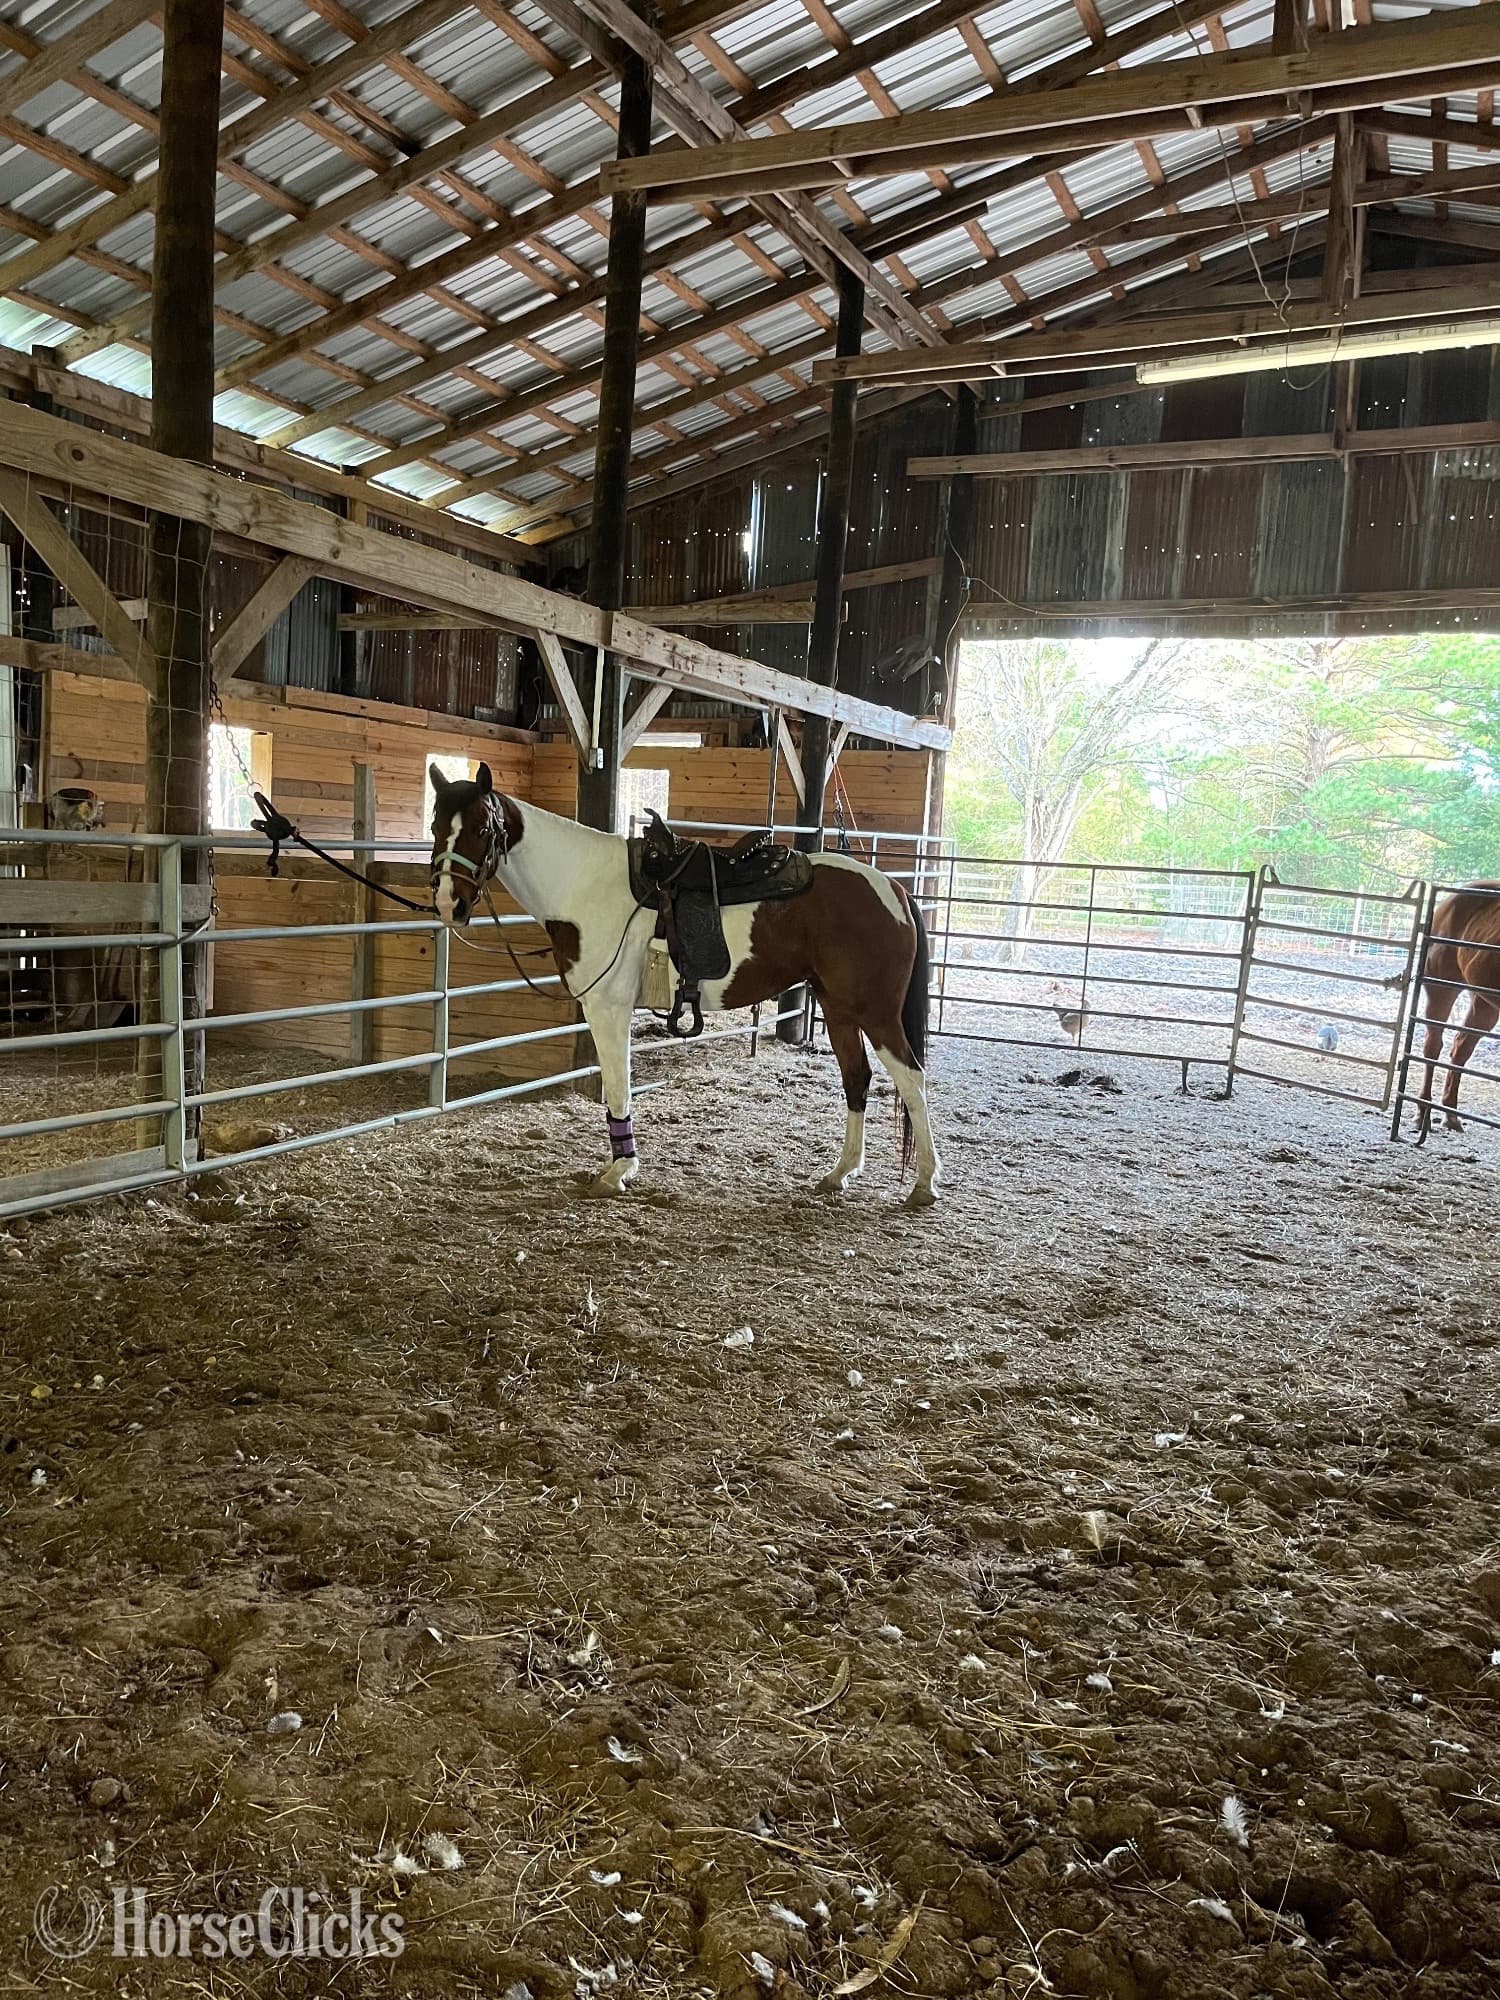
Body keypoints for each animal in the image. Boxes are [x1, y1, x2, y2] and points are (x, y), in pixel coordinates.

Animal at [428, 763, 940, 1206]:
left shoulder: (608, 1008)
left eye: (481, 829)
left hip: (876, 1013)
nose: (449, 904)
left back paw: (924, 1183)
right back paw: (840, 1173)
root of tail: (893, 889)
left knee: (912, 1078)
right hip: (839, 1009)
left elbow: (619, 1086)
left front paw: (619, 1171)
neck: (586, 886)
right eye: (435, 828)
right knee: (857, 1078)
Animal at [1412, 880, 1500, 1142]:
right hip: (1441, 988)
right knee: (1433, 1047)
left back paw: (1450, 1115)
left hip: (1483, 1002)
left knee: (1461, 1049)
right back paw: (1423, 1113)